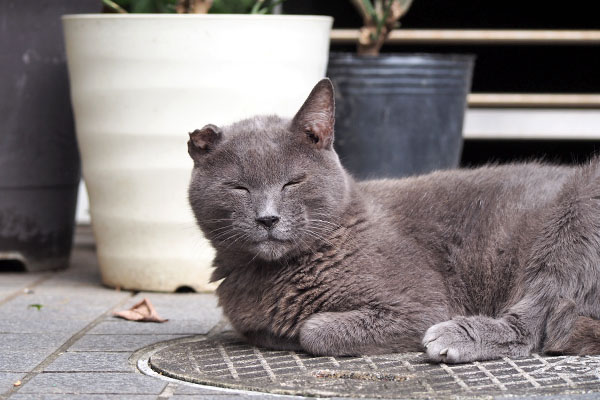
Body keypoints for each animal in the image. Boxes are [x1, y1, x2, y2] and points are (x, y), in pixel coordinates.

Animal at [188, 78, 600, 362]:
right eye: (239, 188)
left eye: (293, 182)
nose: (267, 217)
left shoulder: (417, 306)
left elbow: (313, 331)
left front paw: (300, 330)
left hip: (574, 218)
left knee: (537, 324)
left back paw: (454, 338)